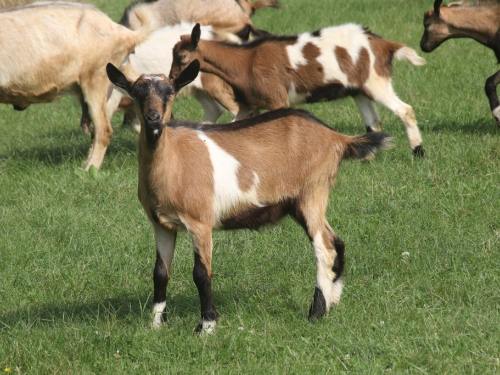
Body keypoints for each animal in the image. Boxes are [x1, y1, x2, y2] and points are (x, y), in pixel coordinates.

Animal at [107, 59, 392, 334]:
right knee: (337, 241)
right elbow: (160, 272)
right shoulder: (162, 224)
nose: (153, 118)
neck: (174, 161)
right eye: (136, 93)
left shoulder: (200, 222)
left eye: (170, 92)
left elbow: (201, 274)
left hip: (313, 192)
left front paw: (206, 326)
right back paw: (333, 301)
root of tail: (337, 138)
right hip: (301, 203)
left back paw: (316, 313)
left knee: (324, 250)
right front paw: (156, 325)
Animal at [169, 23, 426, 156]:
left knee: (405, 110)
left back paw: (418, 151)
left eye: (181, 56)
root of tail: (385, 44)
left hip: (376, 81)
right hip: (359, 90)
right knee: (373, 122)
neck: (246, 61)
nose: (172, 79)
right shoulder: (248, 106)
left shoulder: (277, 100)